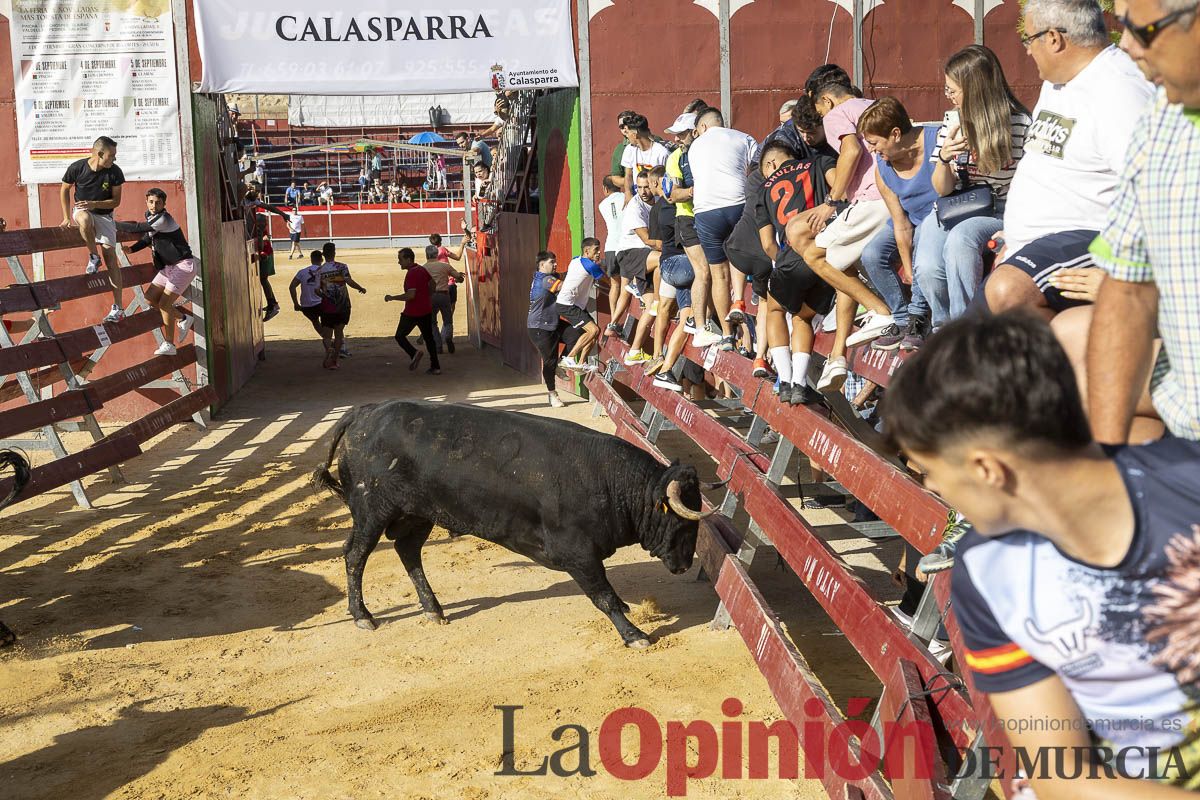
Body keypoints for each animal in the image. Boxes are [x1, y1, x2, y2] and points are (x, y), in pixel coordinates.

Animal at [312, 402, 720, 647]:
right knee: (355, 555)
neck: (610, 482)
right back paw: (363, 616)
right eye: (683, 522)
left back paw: (434, 610)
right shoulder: (579, 555)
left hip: (418, 513)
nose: (684, 564)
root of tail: (363, 413)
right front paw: (635, 635)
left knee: (408, 551)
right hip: (371, 511)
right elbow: (604, 597)